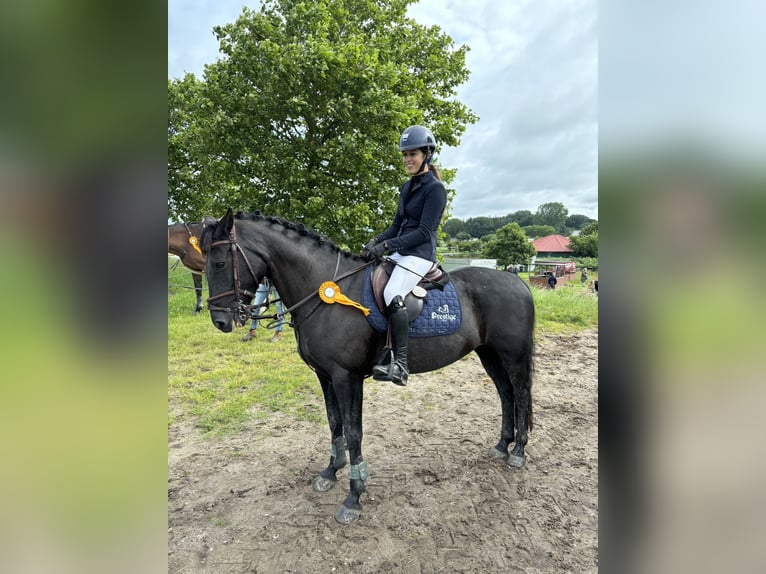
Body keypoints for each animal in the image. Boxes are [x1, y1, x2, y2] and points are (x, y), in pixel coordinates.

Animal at [204, 212, 540, 528]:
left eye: (219, 263)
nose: (220, 321)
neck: (324, 290)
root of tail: (518, 282)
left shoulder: (346, 377)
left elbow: (354, 432)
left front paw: (354, 497)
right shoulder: (324, 375)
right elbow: (334, 423)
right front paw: (331, 471)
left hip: (512, 355)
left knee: (520, 393)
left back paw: (519, 452)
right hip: (489, 354)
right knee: (505, 393)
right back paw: (502, 446)